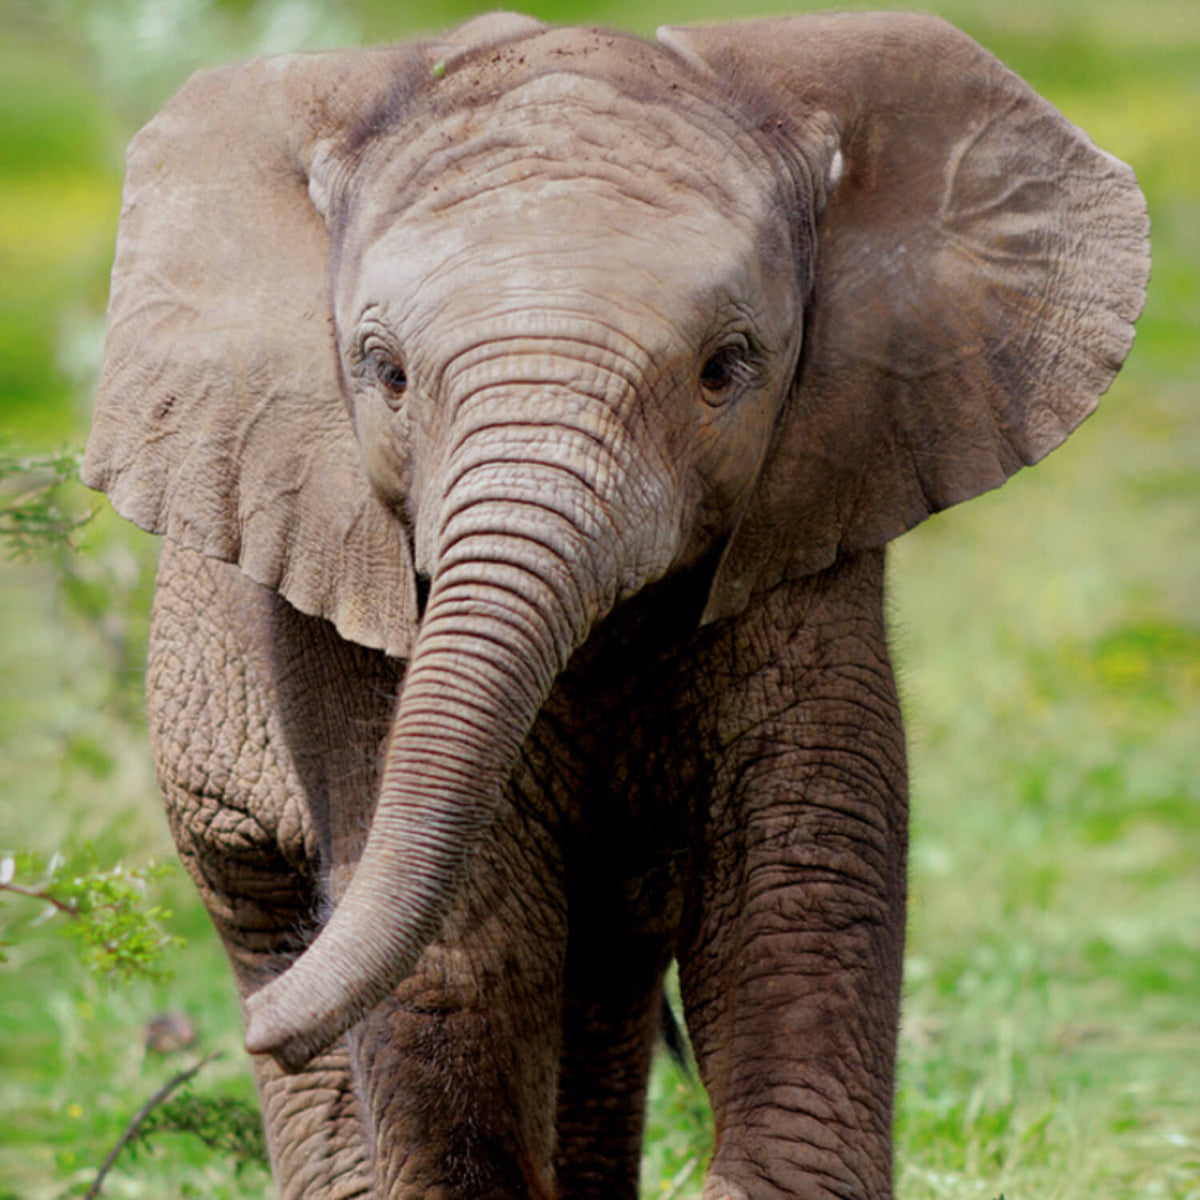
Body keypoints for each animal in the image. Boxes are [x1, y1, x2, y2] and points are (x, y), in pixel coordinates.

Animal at [83, 10, 1149, 1199]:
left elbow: (798, 895)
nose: (236, 1032)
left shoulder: (808, 535)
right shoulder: (340, 595)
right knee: (277, 914)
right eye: (383, 372)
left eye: (727, 369)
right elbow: (465, 946)